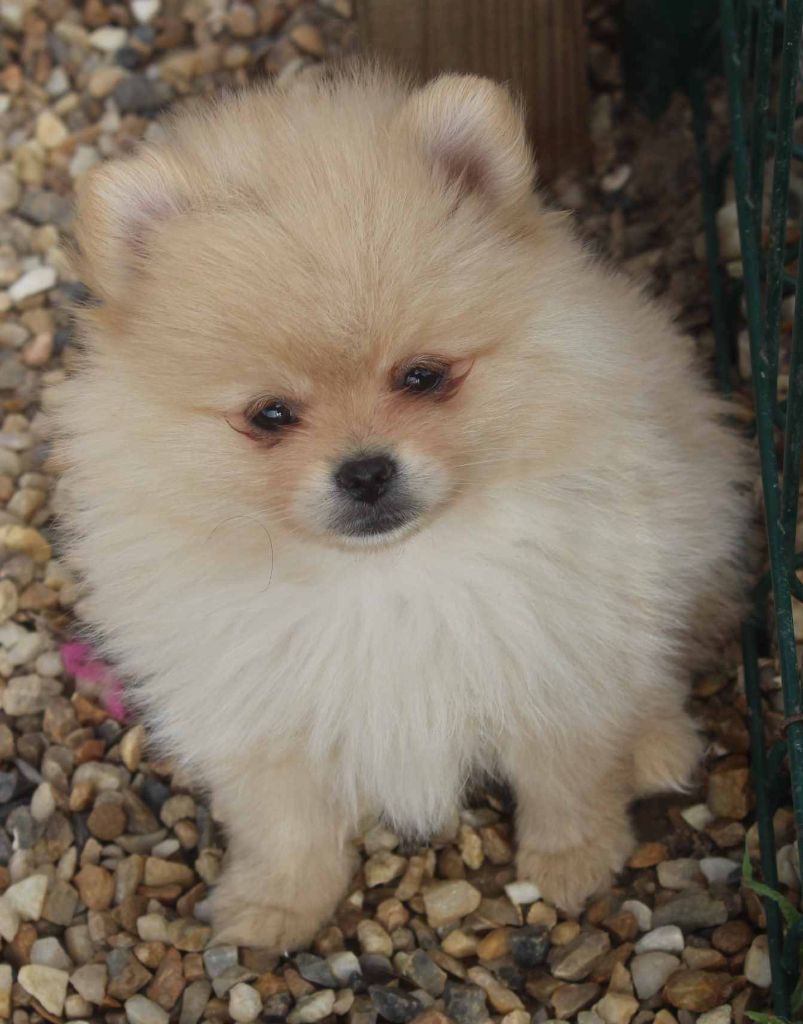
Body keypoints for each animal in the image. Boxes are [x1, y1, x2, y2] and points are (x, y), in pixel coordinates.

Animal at [53, 64, 752, 950]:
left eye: (422, 376)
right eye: (269, 415)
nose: (364, 472)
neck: (383, 576)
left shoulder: (556, 652)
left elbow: (566, 773)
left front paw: (573, 862)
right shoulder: (259, 709)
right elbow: (285, 824)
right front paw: (273, 908)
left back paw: (658, 742)